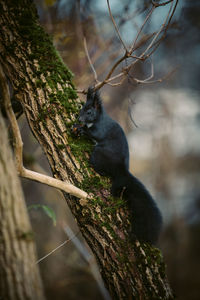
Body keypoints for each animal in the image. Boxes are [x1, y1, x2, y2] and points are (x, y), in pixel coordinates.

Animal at [74, 87, 162, 244]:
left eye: (89, 112)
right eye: (81, 108)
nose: (79, 119)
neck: (98, 119)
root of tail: (121, 172)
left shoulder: (101, 129)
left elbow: (94, 134)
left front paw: (80, 128)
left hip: (99, 153)